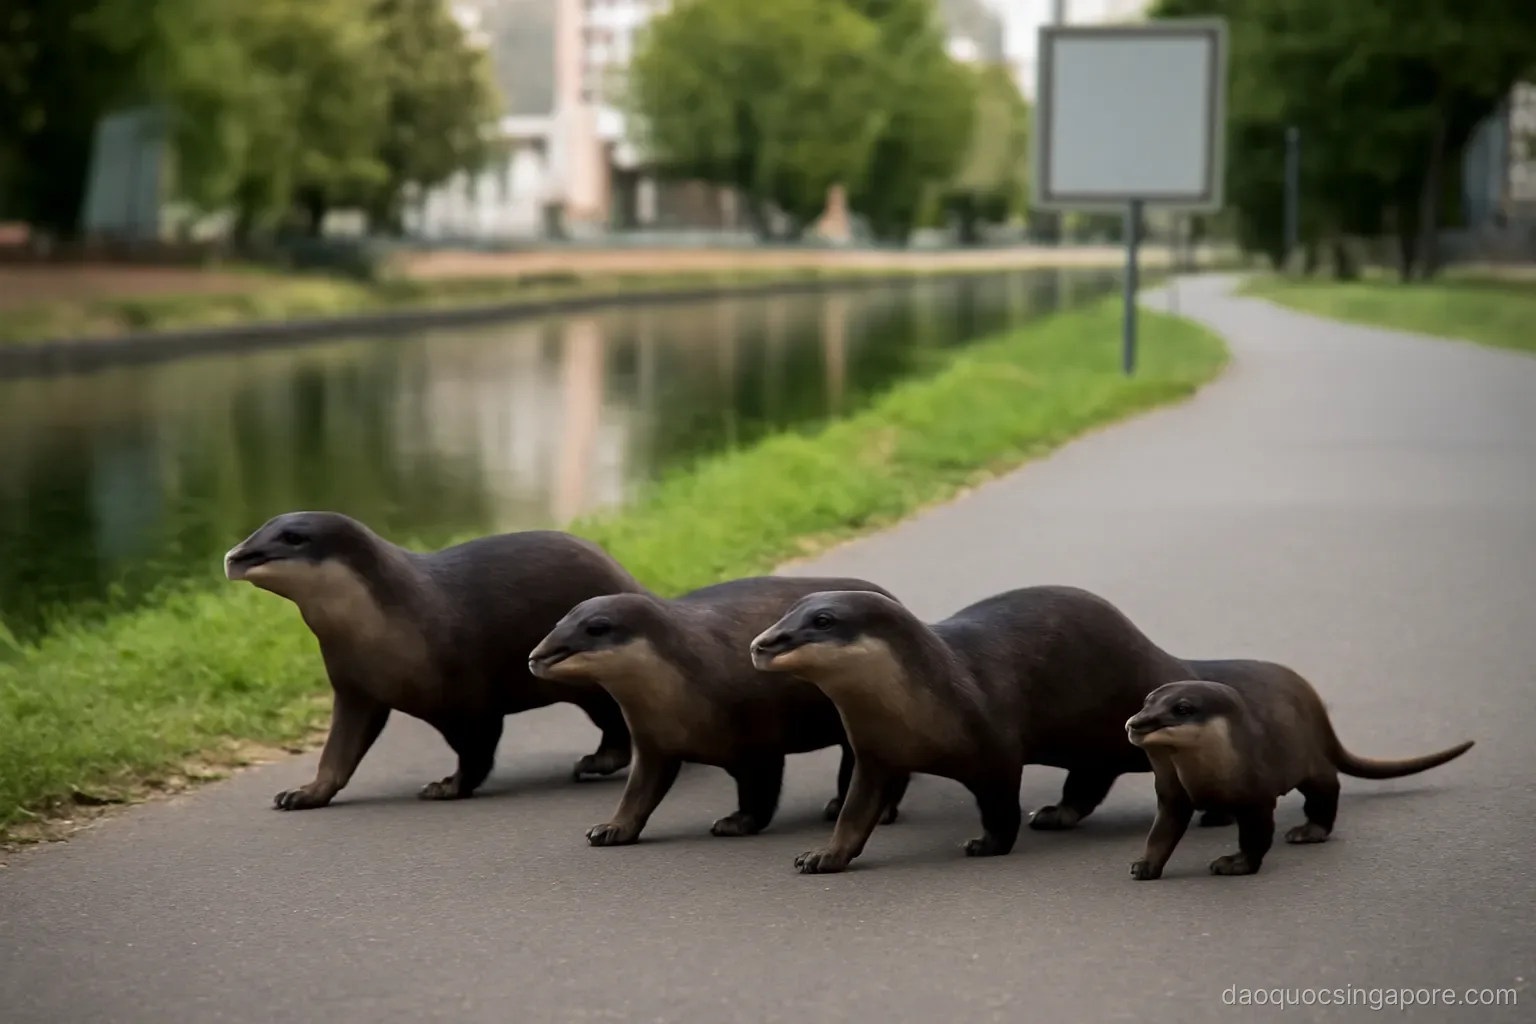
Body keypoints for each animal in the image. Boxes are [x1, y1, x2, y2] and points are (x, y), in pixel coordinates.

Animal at [223, 511, 648, 810]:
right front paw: (305, 793)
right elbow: (338, 752)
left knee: (616, 722)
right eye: (259, 528)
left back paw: (594, 762)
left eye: (292, 537)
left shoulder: (468, 698)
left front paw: (447, 786)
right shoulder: (354, 689)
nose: (235, 555)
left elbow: (477, 752)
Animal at [526, 576, 909, 846]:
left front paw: (737, 823)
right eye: (557, 623)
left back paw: (875, 810)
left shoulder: (760, 740)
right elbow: (638, 794)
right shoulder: (653, 744)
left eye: (595, 628)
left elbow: (760, 791)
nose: (537, 654)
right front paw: (612, 828)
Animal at [749, 585, 1199, 874]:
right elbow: (853, 815)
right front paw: (823, 856)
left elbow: (1000, 808)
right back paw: (1055, 814)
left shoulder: (996, 751)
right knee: (1091, 780)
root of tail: (1165, 660)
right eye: (784, 614)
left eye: (823, 620)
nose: (762, 643)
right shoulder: (875, 756)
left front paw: (987, 846)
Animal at [1124, 671, 1474, 879]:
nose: (1135, 722)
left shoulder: (1256, 796)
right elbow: (1162, 833)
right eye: (1146, 702)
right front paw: (1145, 865)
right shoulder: (1172, 795)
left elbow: (1256, 835)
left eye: (1182, 709)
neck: (1206, 777)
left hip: (1310, 763)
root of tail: (1314, 704)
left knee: (1327, 787)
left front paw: (1236, 864)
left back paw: (1309, 831)